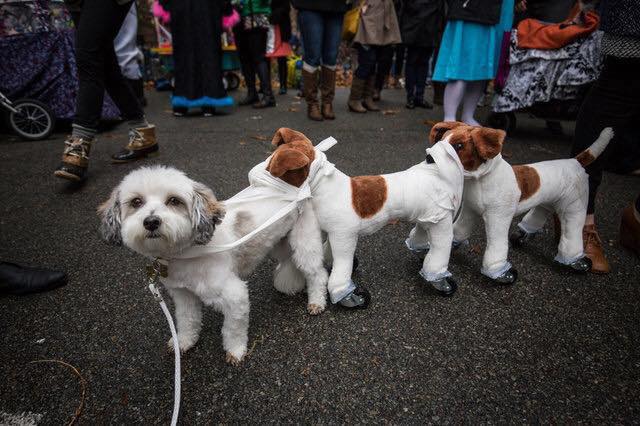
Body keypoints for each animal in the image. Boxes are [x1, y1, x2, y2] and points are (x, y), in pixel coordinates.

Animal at [99, 159, 330, 362]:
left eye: (174, 201)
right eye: (136, 202)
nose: (151, 221)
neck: (189, 252)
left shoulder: (235, 296)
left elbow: (232, 329)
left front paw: (236, 352)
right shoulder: (183, 294)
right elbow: (187, 320)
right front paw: (184, 342)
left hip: (305, 241)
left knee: (317, 274)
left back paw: (317, 302)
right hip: (279, 242)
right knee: (290, 261)